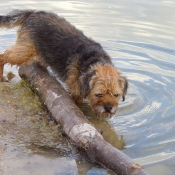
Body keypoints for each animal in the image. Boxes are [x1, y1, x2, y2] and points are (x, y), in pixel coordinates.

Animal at [0, 10, 129, 118]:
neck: (94, 61)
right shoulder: (76, 93)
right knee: (3, 56)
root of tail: (33, 13)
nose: (108, 108)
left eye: (116, 95)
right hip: (24, 52)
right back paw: (2, 77)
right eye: (98, 94)